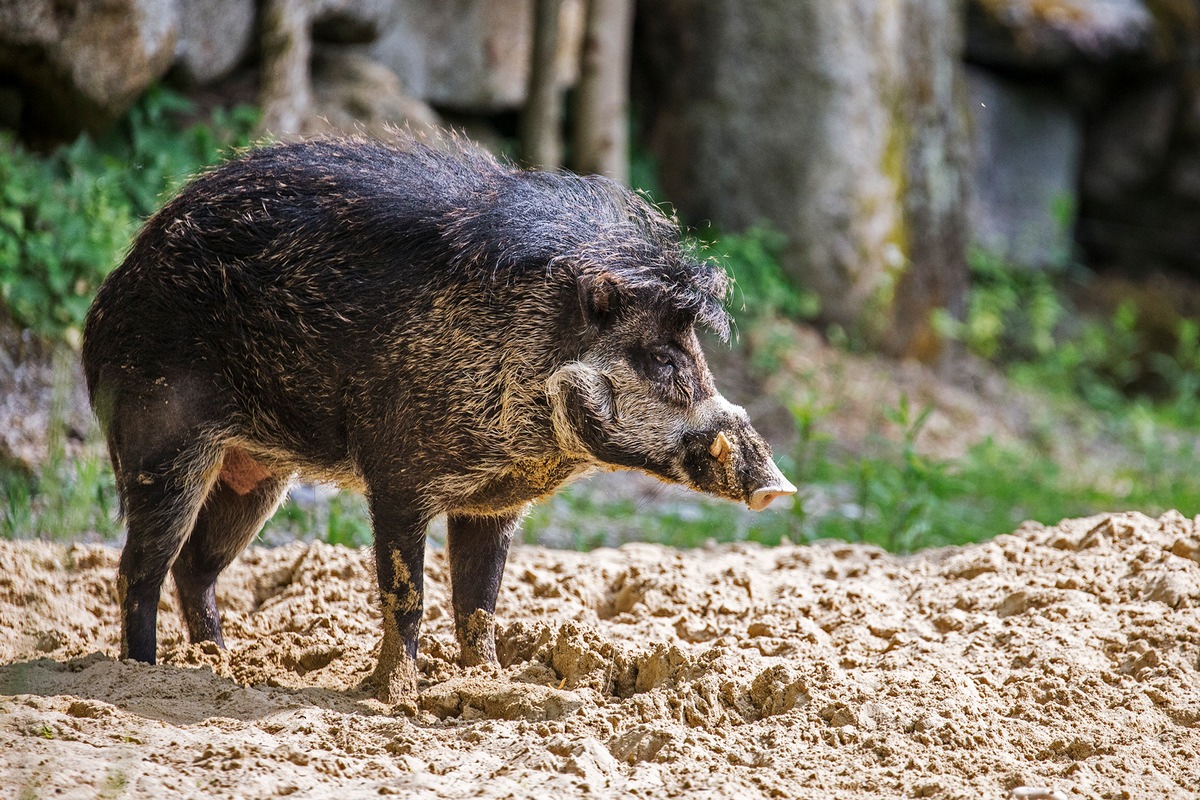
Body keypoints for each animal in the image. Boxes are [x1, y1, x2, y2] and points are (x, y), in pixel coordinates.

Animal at [84, 136, 796, 700]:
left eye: (695, 354)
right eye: (660, 359)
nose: (778, 488)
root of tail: (112, 294)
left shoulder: (493, 502)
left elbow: (478, 603)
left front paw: (493, 683)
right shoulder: (397, 478)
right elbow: (407, 595)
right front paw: (394, 697)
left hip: (255, 472)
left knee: (195, 568)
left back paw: (221, 667)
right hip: (161, 445)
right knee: (140, 569)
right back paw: (144, 675)